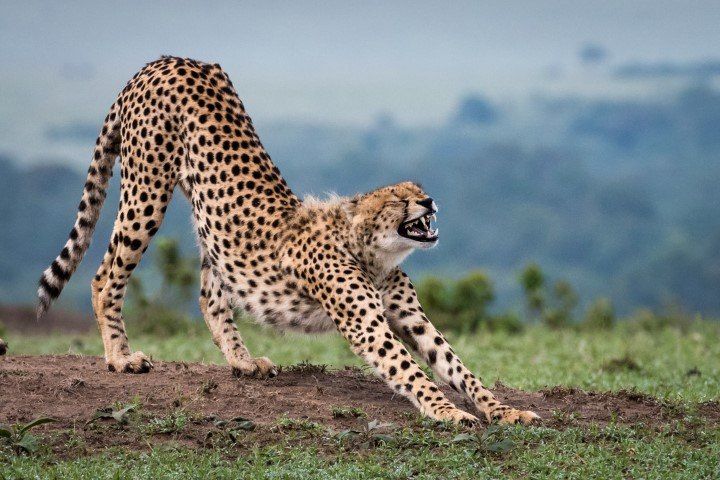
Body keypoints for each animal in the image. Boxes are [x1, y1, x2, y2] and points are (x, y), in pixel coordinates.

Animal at [36, 56, 538, 425]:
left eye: (419, 189)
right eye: (400, 197)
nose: (430, 201)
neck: (372, 253)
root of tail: (166, 59)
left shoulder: (411, 319)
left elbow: (456, 366)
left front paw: (505, 411)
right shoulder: (368, 325)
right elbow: (411, 371)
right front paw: (447, 412)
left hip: (206, 222)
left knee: (207, 293)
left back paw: (241, 361)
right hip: (147, 188)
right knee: (105, 275)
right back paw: (120, 358)